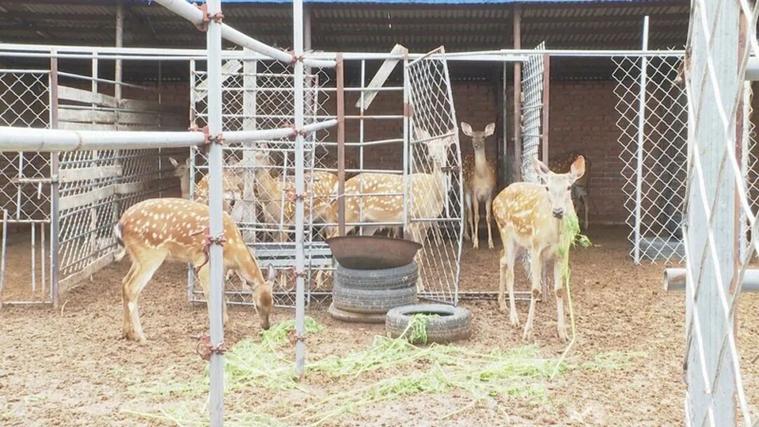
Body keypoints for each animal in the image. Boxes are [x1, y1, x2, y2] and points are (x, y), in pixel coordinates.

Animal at [113, 197, 275, 343]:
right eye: (257, 306)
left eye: (272, 303)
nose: (266, 326)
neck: (233, 249)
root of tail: (120, 225)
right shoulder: (203, 262)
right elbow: (210, 293)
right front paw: (216, 328)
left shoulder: (222, 268)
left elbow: (221, 292)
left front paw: (226, 323)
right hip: (150, 254)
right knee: (132, 287)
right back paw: (142, 336)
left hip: (137, 258)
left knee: (124, 282)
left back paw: (127, 333)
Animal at [493, 155, 586, 342]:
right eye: (547, 187)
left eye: (569, 187)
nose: (558, 211)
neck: (555, 235)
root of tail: (495, 199)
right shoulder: (536, 248)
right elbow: (535, 289)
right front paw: (528, 331)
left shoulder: (563, 252)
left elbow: (559, 290)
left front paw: (563, 333)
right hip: (506, 232)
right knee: (510, 273)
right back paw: (514, 318)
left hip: (521, 244)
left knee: (502, 258)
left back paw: (502, 304)